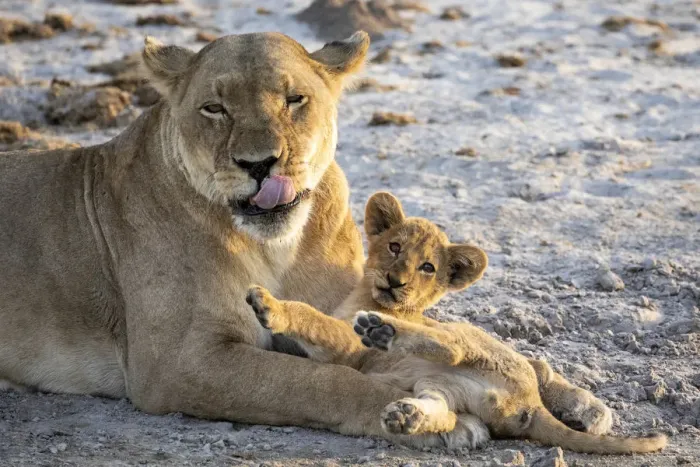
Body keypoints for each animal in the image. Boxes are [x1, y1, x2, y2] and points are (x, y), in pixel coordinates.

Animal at [0, 31, 617, 449]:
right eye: (214, 108)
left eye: (294, 99)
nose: (259, 164)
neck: (279, 247)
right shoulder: (175, 361)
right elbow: (313, 383)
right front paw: (439, 417)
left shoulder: (351, 303)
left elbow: (489, 344)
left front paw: (584, 402)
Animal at [246, 192, 666, 454]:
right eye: (394, 247)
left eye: (428, 267)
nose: (396, 281)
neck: (369, 299)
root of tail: (532, 405)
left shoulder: (348, 345)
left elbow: (312, 317)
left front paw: (270, 306)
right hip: (443, 387)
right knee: (441, 406)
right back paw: (406, 415)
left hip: (466, 335)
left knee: (452, 347)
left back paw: (384, 332)